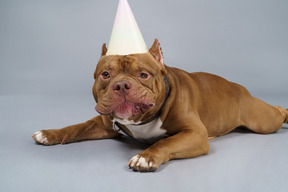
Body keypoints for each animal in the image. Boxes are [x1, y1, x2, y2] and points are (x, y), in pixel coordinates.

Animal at [32, 38, 288, 172]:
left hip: (262, 121)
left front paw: (146, 156)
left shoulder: (195, 133)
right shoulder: (104, 124)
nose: (122, 84)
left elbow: (167, 142)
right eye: (105, 74)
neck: (140, 122)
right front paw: (50, 133)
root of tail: (239, 87)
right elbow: (77, 127)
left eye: (143, 75)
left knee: (276, 112)